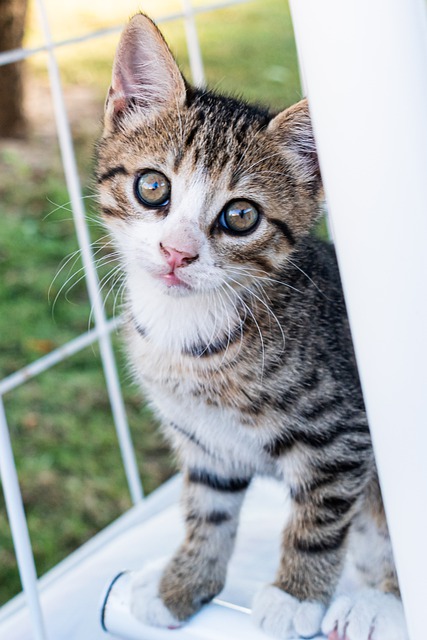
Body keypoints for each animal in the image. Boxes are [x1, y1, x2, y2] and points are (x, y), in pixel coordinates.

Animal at [95, 13, 410, 640]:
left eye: (240, 216)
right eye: (152, 186)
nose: (177, 252)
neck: (189, 335)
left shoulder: (343, 434)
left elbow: (321, 518)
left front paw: (295, 597)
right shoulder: (207, 445)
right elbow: (207, 513)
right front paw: (181, 585)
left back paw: (378, 603)